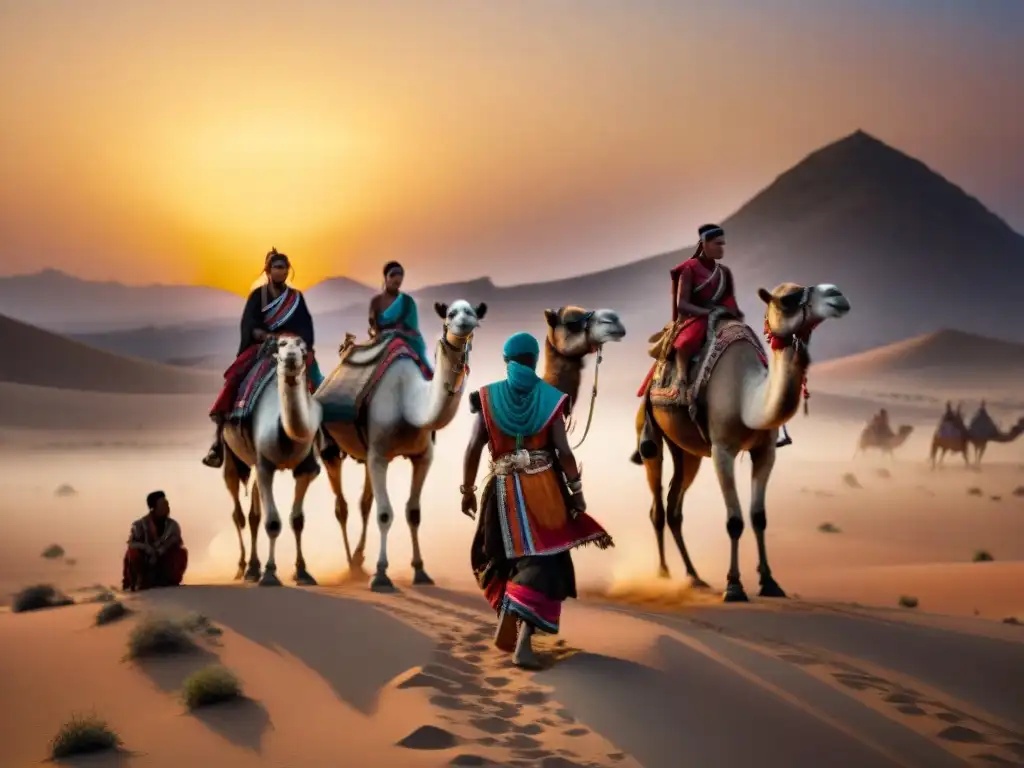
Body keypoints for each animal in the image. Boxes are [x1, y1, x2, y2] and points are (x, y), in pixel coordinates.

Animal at [222, 335, 321, 589]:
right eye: (281, 345)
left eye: (303, 348)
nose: (291, 357)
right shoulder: (265, 466)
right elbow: (273, 522)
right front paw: (269, 573)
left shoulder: (306, 470)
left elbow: (297, 520)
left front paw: (302, 572)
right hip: (232, 457)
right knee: (238, 513)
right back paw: (243, 568)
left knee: (253, 516)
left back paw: (252, 568)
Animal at [317, 296, 485, 593]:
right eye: (451, 314)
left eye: (474, 314)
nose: (465, 323)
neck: (408, 401)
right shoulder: (380, 456)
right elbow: (385, 514)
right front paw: (381, 576)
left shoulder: (422, 456)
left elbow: (413, 512)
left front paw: (420, 571)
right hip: (329, 445)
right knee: (342, 505)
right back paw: (350, 566)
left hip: (367, 455)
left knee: (364, 503)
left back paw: (358, 560)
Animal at [626, 282, 851, 602]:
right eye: (788, 299)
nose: (836, 293)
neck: (748, 396)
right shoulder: (722, 450)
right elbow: (734, 520)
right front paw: (733, 586)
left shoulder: (765, 451)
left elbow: (758, 517)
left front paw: (769, 582)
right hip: (649, 436)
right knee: (657, 507)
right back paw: (663, 574)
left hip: (687, 453)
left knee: (674, 508)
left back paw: (694, 577)